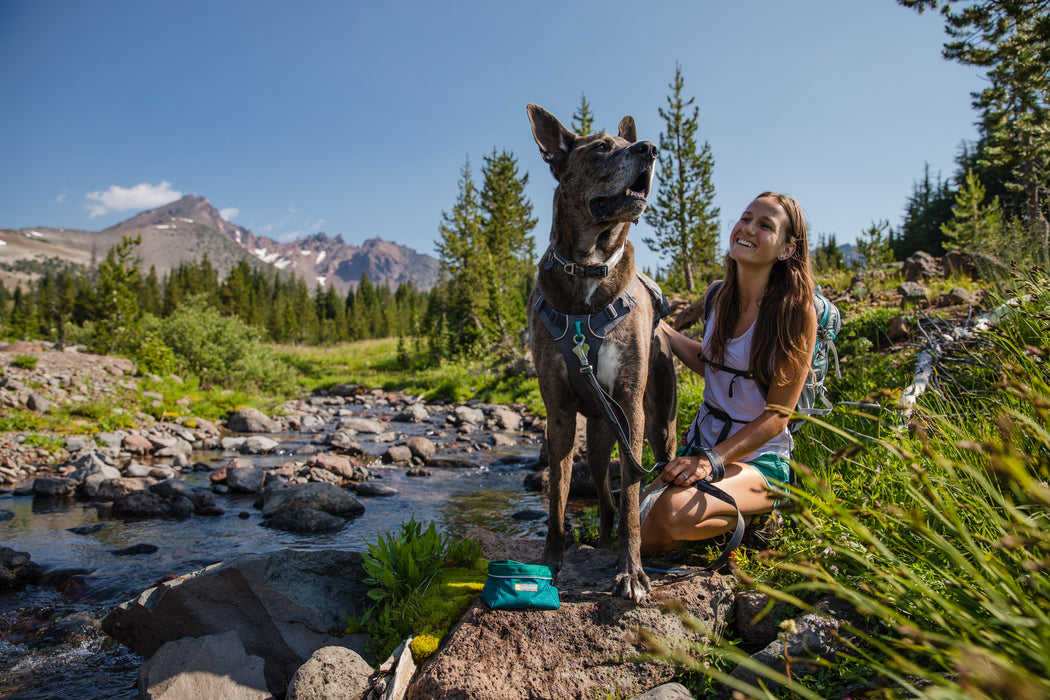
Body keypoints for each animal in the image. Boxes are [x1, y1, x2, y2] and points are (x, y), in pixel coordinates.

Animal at [525, 103, 680, 604]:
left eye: (629, 143)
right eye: (599, 149)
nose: (650, 148)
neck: (589, 268)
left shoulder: (630, 405)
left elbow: (631, 494)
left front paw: (631, 572)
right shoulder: (558, 412)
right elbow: (557, 496)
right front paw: (551, 561)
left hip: (658, 423)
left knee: (650, 475)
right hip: (595, 432)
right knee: (602, 491)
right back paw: (603, 536)